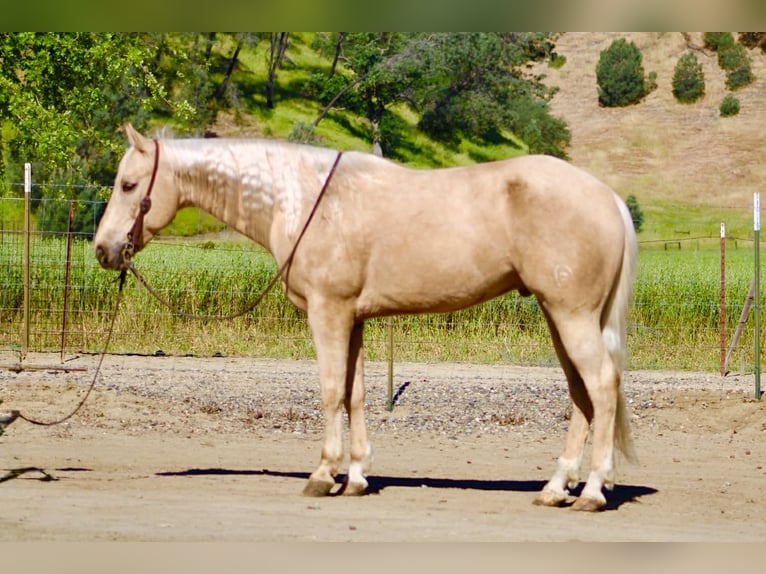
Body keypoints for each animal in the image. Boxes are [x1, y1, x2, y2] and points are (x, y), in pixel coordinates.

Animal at [94, 123, 637, 511]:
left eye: (129, 184)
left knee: (602, 385)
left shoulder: (327, 312)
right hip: (559, 316)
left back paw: (591, 491)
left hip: (571, 316)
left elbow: (331, 389)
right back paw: (556, 487)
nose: (102, 249)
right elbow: (354, 393)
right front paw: (355, 477)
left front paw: (322, 475)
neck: (305, 199)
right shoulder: (352, 318)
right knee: (582, 394)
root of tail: (607, 197)